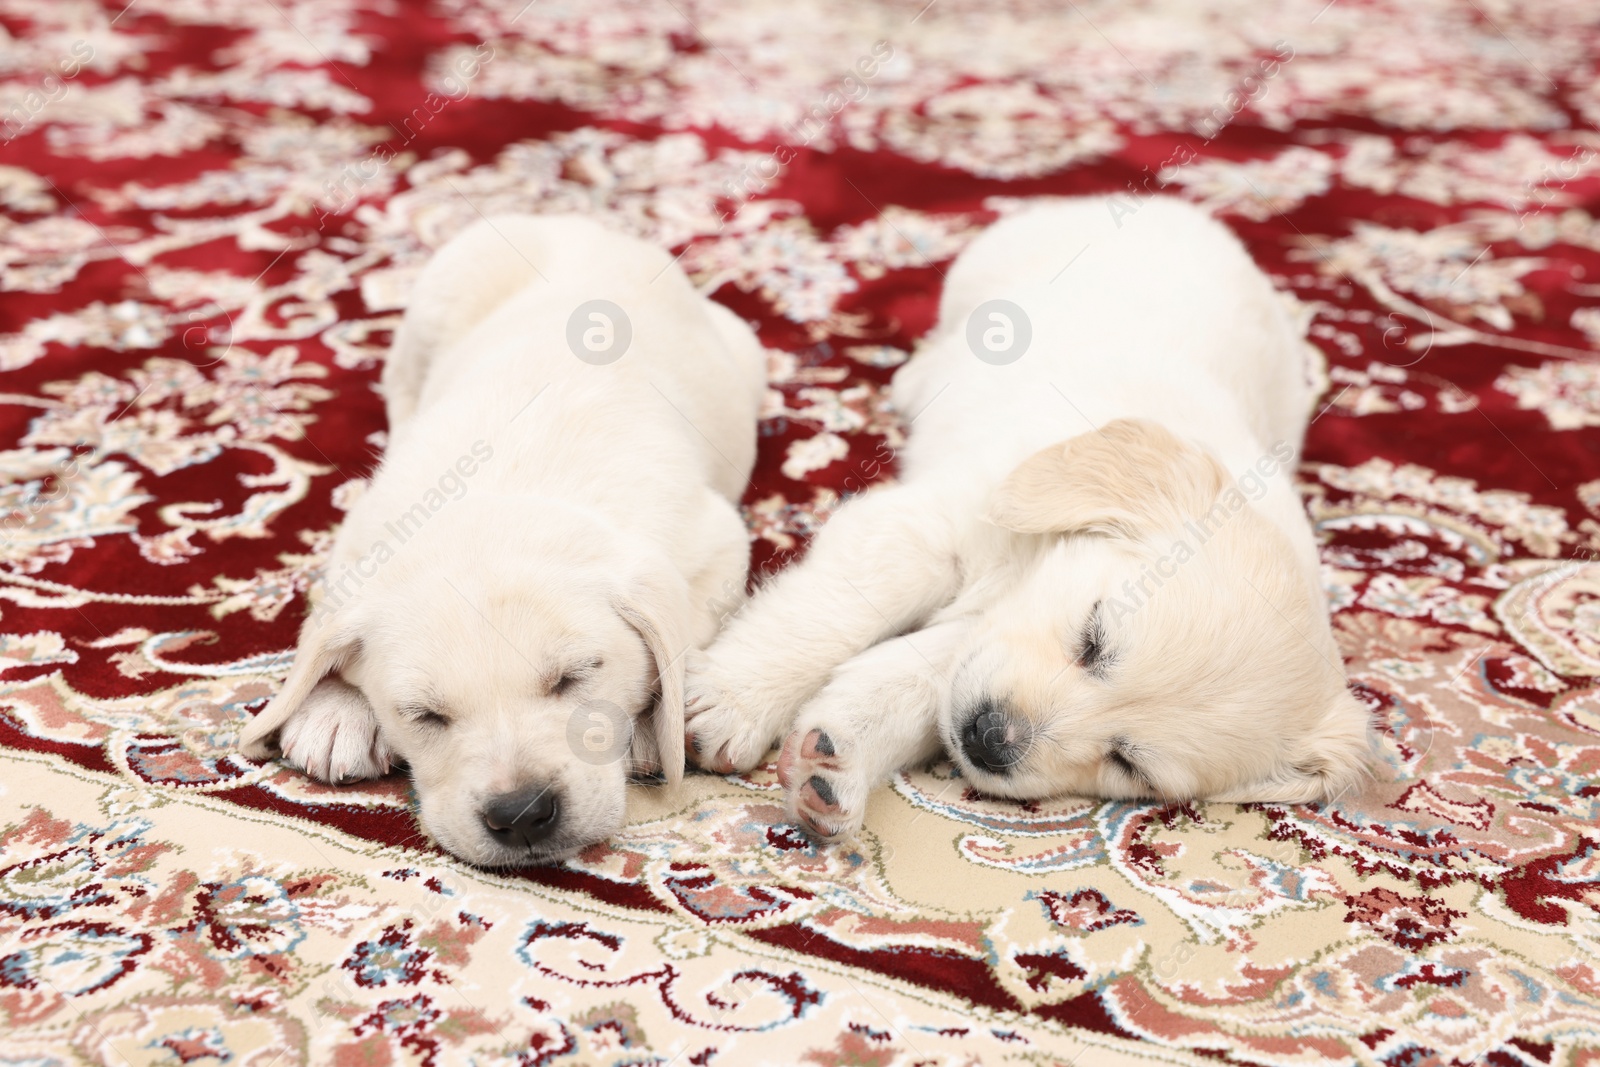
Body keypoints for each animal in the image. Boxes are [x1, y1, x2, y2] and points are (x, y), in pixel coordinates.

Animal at [235, 214, 761, 870]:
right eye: (425, 715)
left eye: (575, 677)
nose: (522, 814)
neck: (502, 489)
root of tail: (575, 220)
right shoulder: (358, 545)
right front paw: (334, 710)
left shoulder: (716, 542)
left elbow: (683, 637)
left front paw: (649, 726)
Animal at [681, 195, 1369, 838]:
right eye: (1093, 638)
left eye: (1129, 764)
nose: (989, 738)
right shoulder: (926, 530)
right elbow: (828, 614)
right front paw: (731, 702)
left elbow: (918, 674)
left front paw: (834, 762)